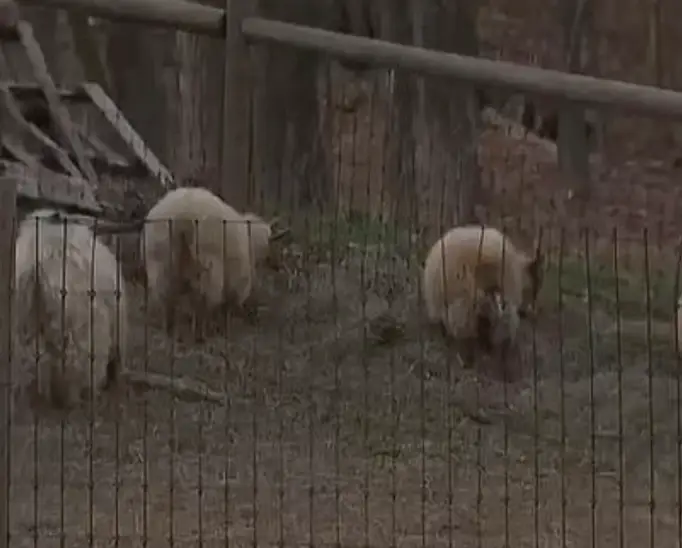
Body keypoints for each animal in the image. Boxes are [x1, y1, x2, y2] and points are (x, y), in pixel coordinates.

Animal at [140, 187, 287, 337]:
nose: (279, 266)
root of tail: (183, 216)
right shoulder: (236, 280)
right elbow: (227, 306)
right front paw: (225, 328)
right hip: (209, 264)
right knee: (204, 299)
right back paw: (201, 334)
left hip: (161, 260)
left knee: (166, 297)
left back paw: (169, 331)